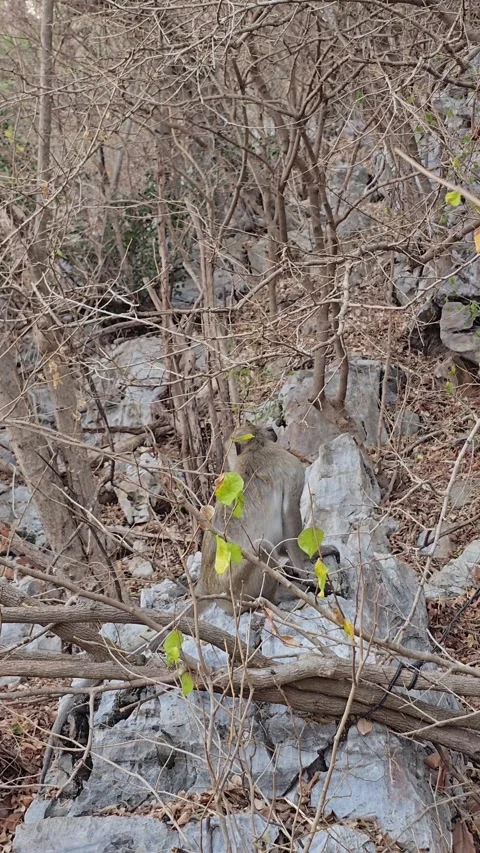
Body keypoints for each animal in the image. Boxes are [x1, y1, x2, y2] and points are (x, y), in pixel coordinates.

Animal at [196, 422, 339, 615]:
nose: (272, 427)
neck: (256, 446)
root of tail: (207, 586)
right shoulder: (290, 466)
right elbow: (289, 514)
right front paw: (305, 564)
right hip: (238, 588)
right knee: (262, 546)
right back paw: (278, 596)